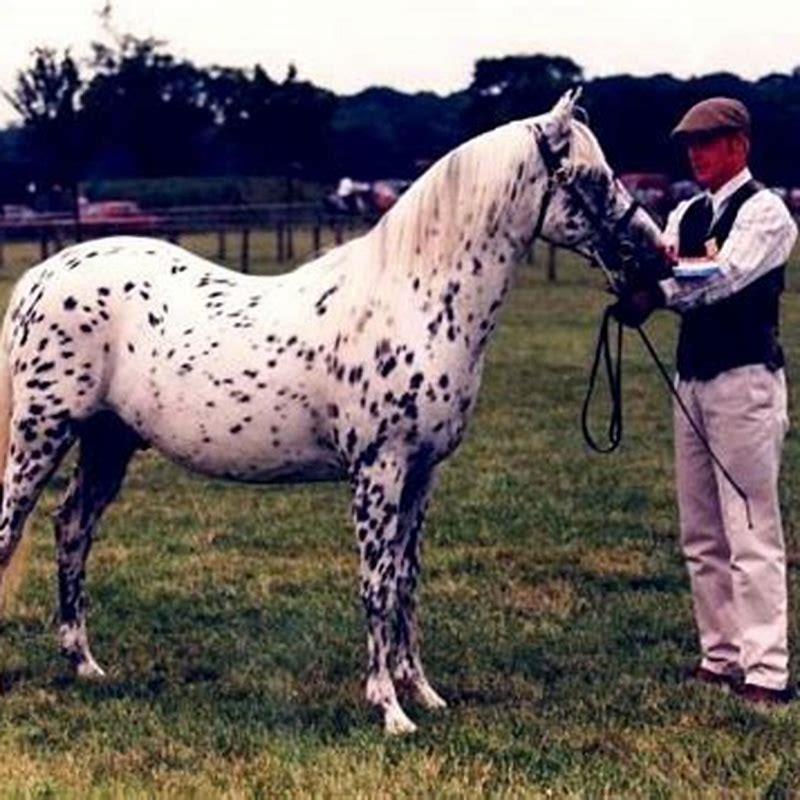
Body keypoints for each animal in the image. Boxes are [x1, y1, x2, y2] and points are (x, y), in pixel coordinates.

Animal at [0, 89, 662, 734]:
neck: (414, 300)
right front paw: (389, 709)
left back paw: (85, 663)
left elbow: (407, 582)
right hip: (41, 434)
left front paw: (423, 693)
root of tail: (41, 276)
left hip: (107, 443)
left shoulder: (423, 475)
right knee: (14, 530)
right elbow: (376, 584)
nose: (659, 257)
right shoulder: (378, 471)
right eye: (591, 178)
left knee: (73, 529)